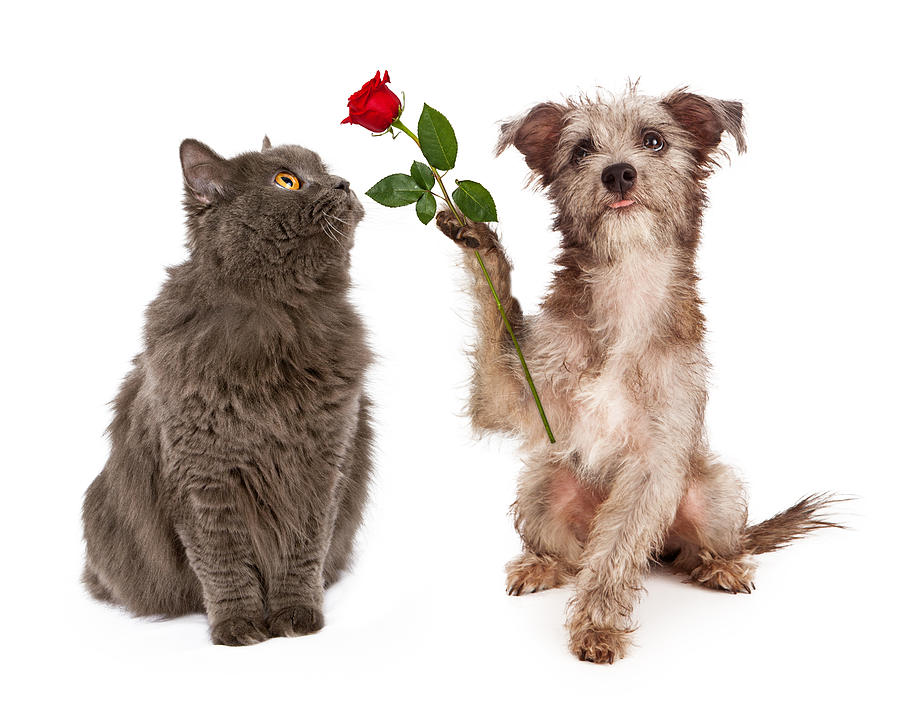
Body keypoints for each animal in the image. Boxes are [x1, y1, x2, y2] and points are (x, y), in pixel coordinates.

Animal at [83, 136, 372, 648]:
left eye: (325, 170)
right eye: (286, 180)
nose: (344, 183)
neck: (281, 314)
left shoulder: (323, 464)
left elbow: (302, 552)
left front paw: (295, 616)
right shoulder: (202, 475)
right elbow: (223, 563)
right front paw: (238, 625)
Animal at [440, 88, 840, 664]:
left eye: (653, 140)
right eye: (581, 150)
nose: (618, 174)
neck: (626, 284)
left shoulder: (656, 463)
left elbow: (614, 552)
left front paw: (597, 627)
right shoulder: (510, 398)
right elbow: (495, 316)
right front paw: (477, 238)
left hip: (713, 492)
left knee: (700, 549)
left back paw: (721, 566)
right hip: (542, 484)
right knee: (570, 553)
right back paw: (542, 563)